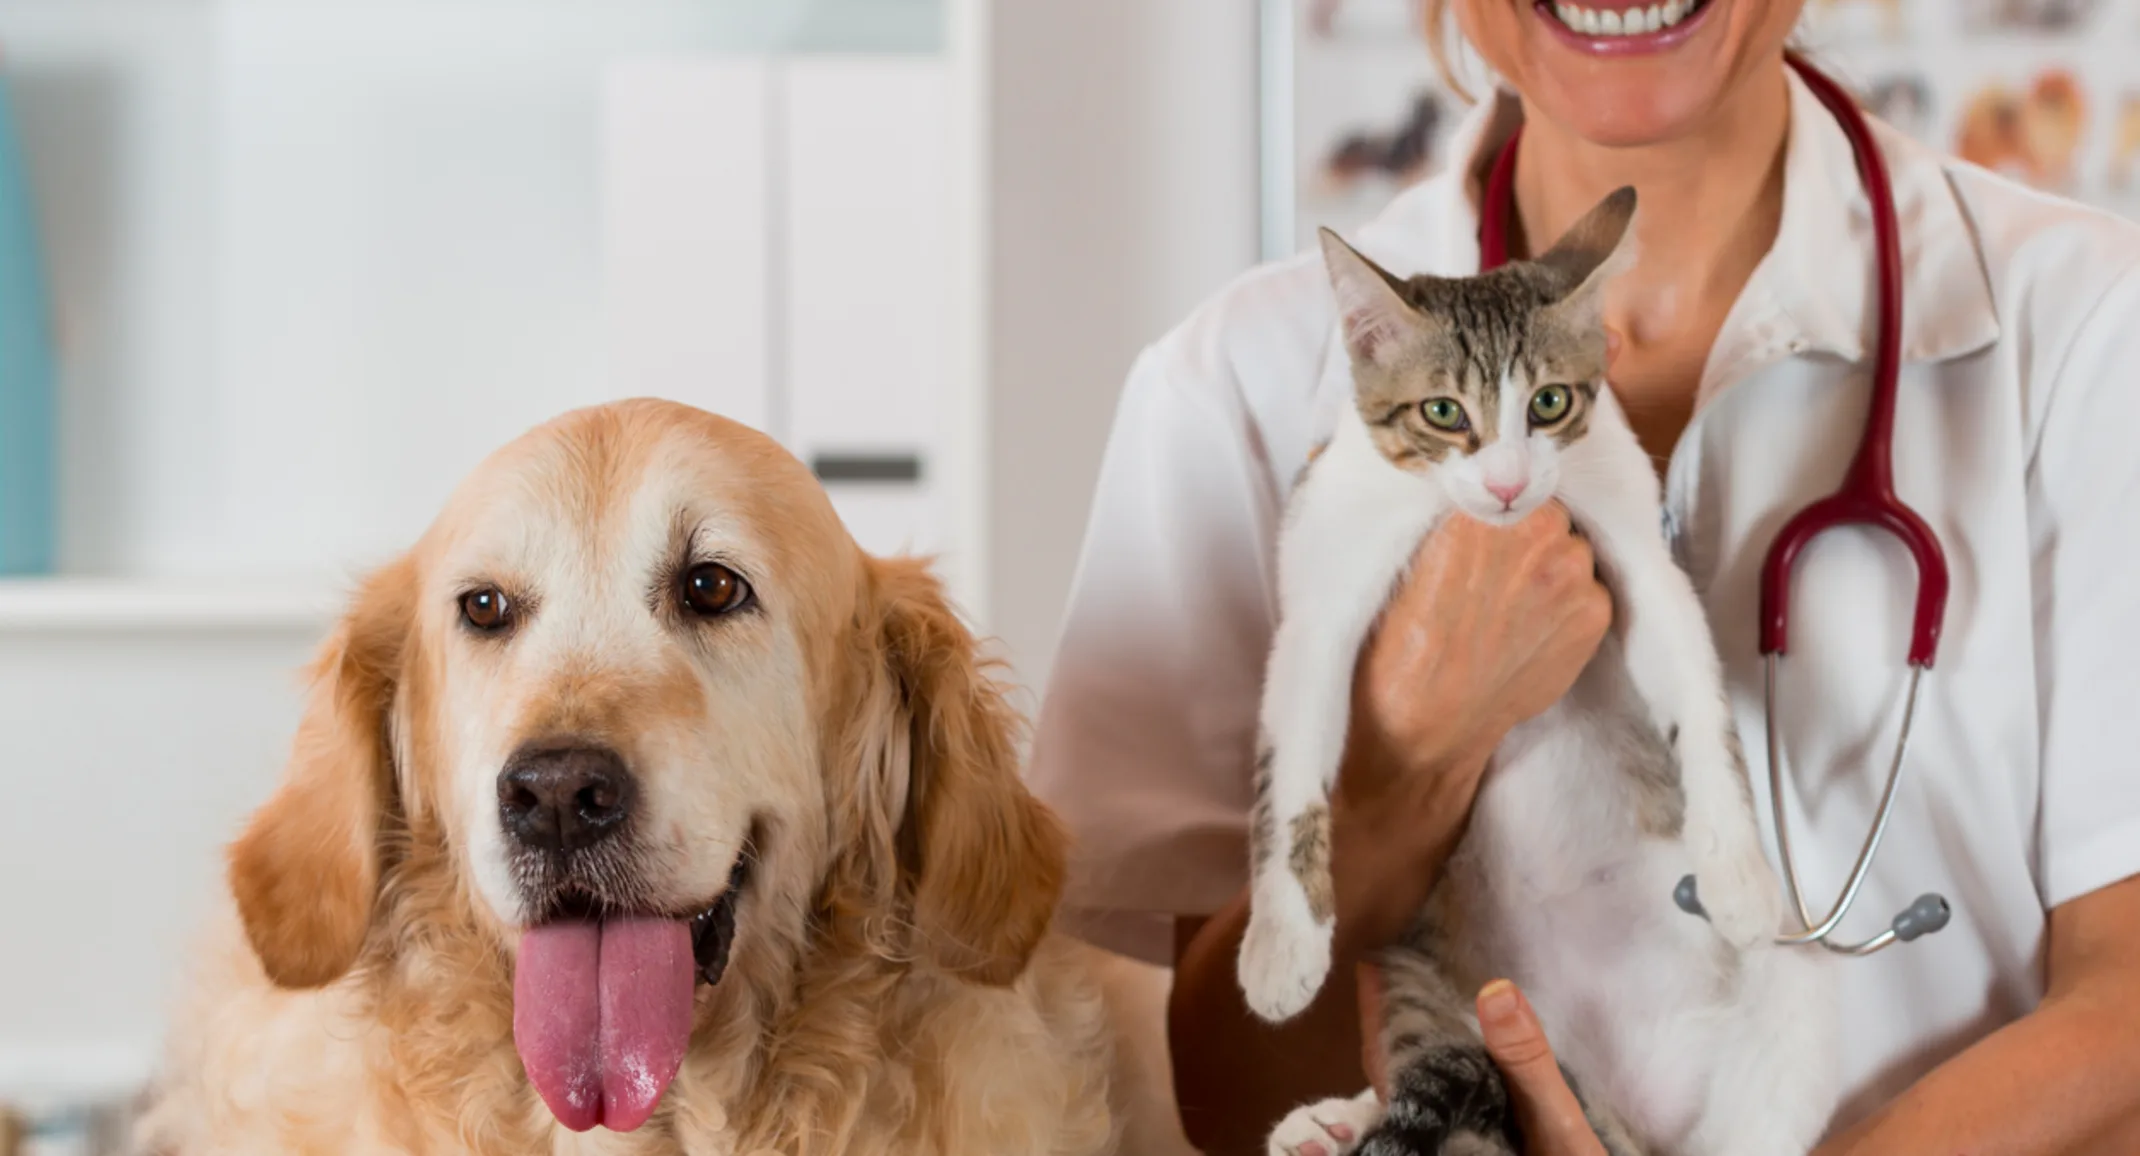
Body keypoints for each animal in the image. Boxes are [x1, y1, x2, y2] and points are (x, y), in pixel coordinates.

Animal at [1241, 189, 1840, 1156]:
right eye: (1443, 413)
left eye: (1550, 403)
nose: (1510, 484)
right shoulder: (1320, 593)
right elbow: (1286, 781)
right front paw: (1281, 948)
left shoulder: (1636, 552)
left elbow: (1700, 702)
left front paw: (1737, 869)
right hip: (1412, 963)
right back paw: (1340, 1119)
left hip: (1794, 998)